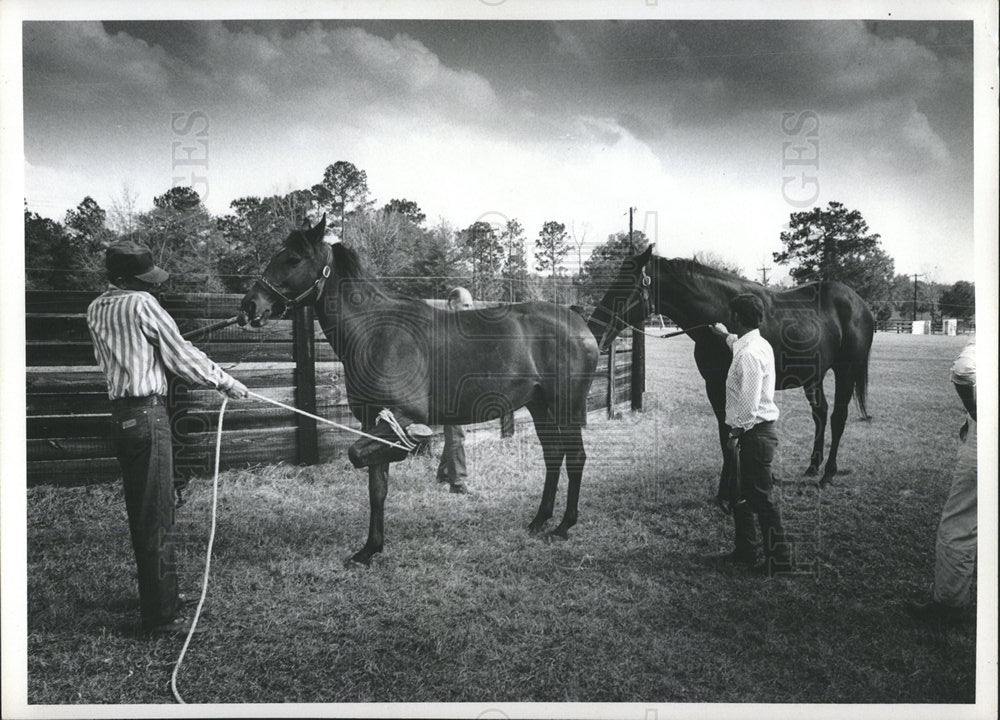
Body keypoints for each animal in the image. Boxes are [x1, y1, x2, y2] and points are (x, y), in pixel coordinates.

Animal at [240, 217, 600, 564]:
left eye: (293, 258)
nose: (250, 305)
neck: (377, 332)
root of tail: (577, 321)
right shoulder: (373, 420)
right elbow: (376, 486)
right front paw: (369, 550)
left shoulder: (402, 414)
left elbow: (360, 453)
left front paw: (410, 445)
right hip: (540, 405)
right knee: (553, 455)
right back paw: (539, 520)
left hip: (566, 406)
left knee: (575, 457)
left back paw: (563, 526)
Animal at [588, 245, 872, 486]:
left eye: (624, 286)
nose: (594, 329)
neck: (724, 313)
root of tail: (860, 304)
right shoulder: (714, 386)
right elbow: (725, 433)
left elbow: (732, 431)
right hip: (813, 376)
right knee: (820, 413)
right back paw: (813, 466)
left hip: (846, 371)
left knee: (838, 417)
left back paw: (828, 474)